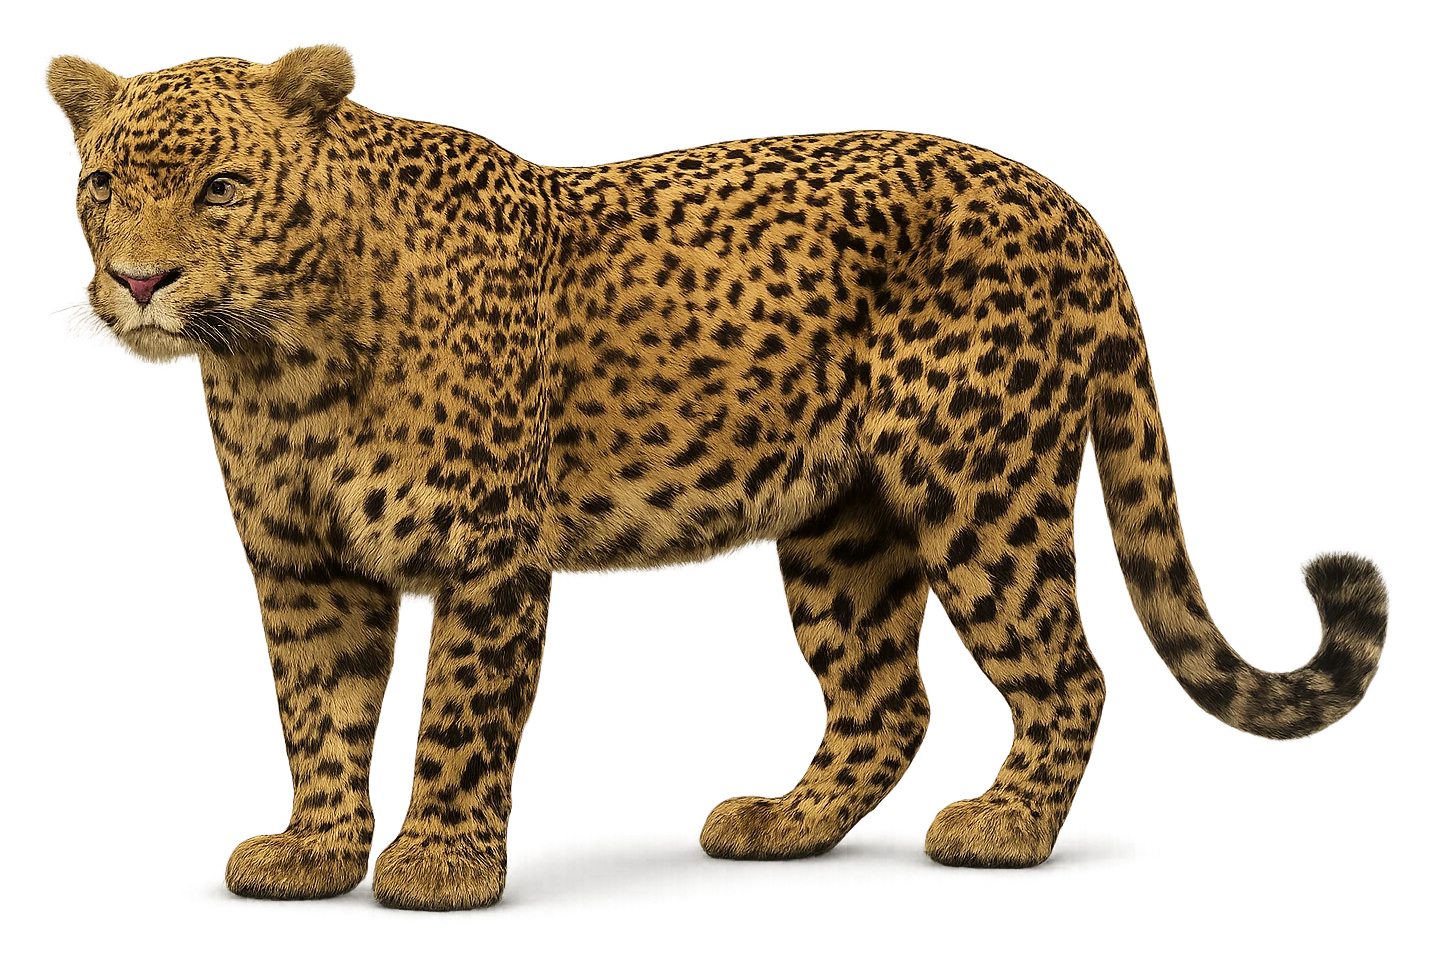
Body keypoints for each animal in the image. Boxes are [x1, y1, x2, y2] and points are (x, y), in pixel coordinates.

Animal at [40, 44, 1390, 912]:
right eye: (103, 185)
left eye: (223, 187)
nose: (142, 282)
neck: (280, 356)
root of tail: (1061, 199)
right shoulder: (301, 564)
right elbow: (318, 712)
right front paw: (318, 852)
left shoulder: (488, 549)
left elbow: (462, 713)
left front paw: (435, 862)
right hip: (843, 521)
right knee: (887, 697)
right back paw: (784, 823)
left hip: (979, 480)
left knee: (1068, 663)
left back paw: (1000, 826)